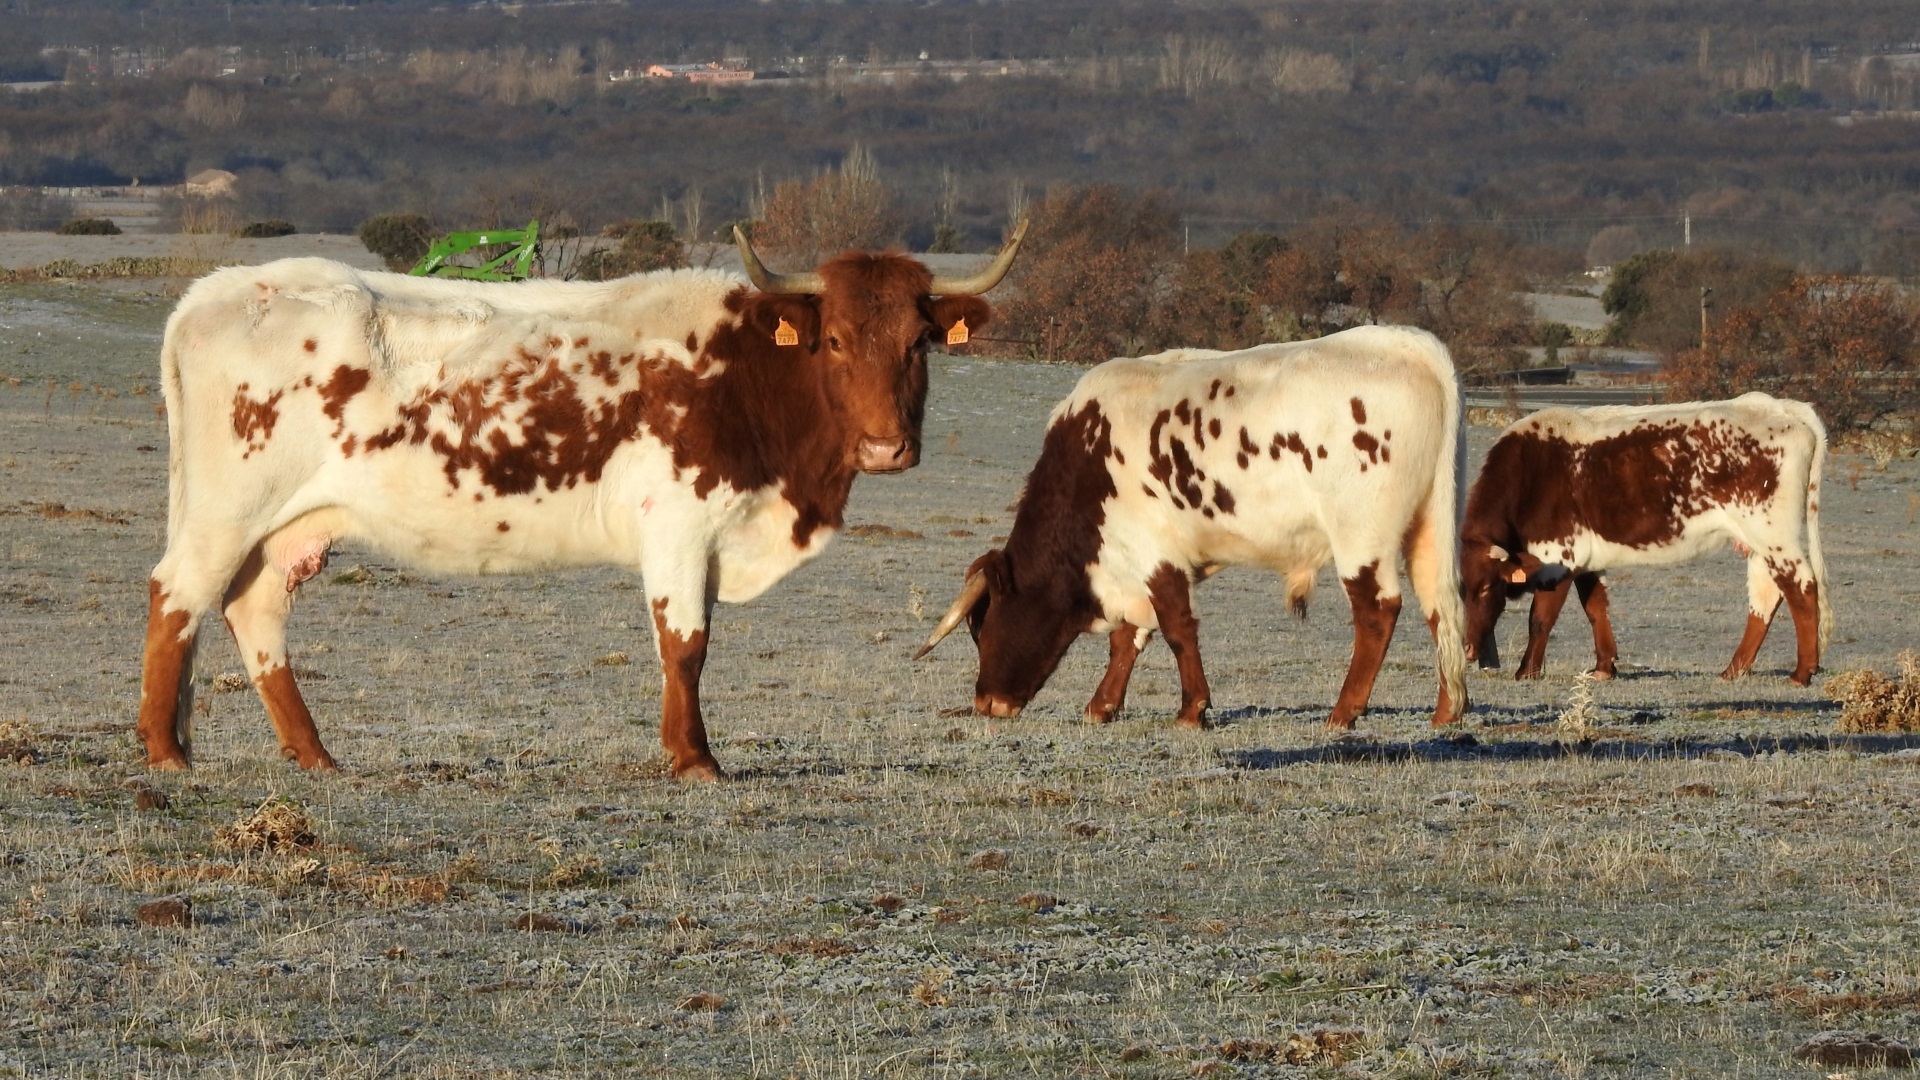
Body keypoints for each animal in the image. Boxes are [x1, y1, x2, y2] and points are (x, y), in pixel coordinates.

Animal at [133, 228, 1021, 780]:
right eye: (833, 339)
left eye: (918, 341)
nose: (886, 447)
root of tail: (218, 291)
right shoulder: (678, 528)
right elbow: (685, 646)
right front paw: (694, 760)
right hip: (226, 511)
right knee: (177, 596)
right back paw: (165, 751)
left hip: (282, 527)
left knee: (253, 612)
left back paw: (312, 754)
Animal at [913, 322, 1466, 726]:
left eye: (981, 627)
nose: (987, 703)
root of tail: (1411, 346)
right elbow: (1130, 635)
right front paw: (1102, 706)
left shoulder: (1153, 552)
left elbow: (1175, 627)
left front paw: (1191, 710)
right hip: (1430, 526)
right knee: (1440, 604)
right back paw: (1447, 712)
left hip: (1361, 536)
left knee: (1377, 612)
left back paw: (1343, 712)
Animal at [1451, 393, 1827, 680]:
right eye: (1461, 589)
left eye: (1486, 587)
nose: (1467, 649)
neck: (1531, 473)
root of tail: (1778, 406)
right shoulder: (1587, 561)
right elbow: (1596, 607)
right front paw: (1604, 667)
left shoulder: (1558, 558)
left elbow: (1540, 619)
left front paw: (1526, 672)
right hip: (1759, 543)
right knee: (1765, 596)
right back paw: (1733, 671)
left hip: (1775, 535)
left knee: (1801, 587)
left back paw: (1802, 672)